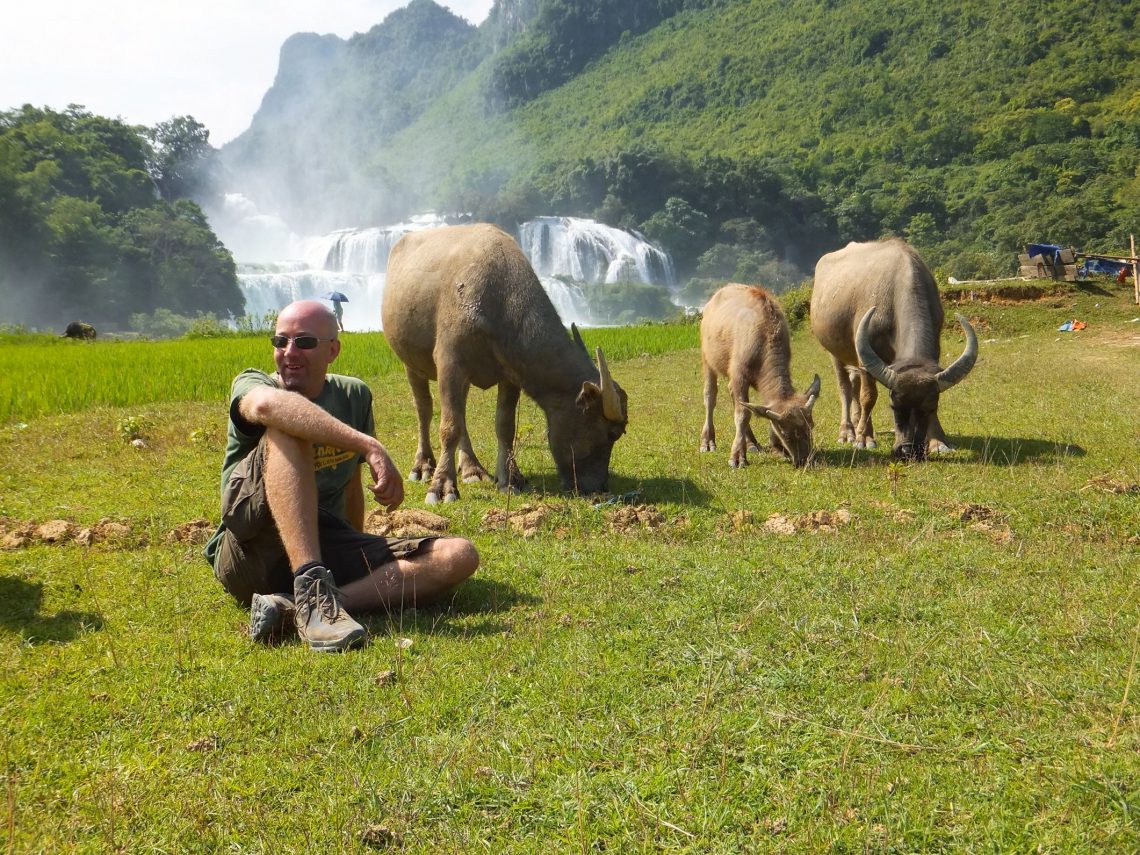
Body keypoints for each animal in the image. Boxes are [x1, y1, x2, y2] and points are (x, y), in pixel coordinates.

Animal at [383, 224, 633, 506]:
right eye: (612, 433)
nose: (598, 487)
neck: (498, 301)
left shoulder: (510, 377)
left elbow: (504, 426)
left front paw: (510, 479)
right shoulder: (450, 364)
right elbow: (449, 426)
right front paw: (442, 486)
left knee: (460, 414)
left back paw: (472, 468)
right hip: (410, 362)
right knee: (424, 410)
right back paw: (423, 465)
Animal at [693, 285, 820, 465]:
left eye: (811, 426)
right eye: (787, 435)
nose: (804, 459)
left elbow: (752, 409)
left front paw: (776, 448)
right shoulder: (739, 376)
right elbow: (743, 415)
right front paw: (737, 456)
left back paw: (752, 443)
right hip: (708, 360)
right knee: (710, 397)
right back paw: (708, 441)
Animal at [811, 239, 980, 462]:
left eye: (930, 407)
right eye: (894, 406)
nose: (908, 451)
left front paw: (938, 442)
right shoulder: (866, 359)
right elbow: (868, 397)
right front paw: (864, 439)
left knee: (854, 384)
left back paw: (856, 424)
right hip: (834, 351)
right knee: (845, 388)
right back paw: (848, 432)